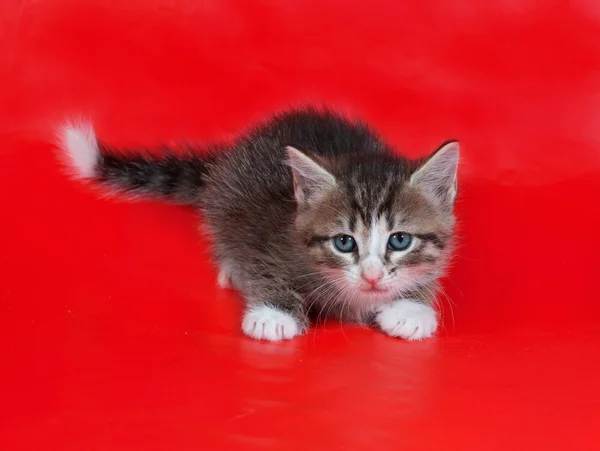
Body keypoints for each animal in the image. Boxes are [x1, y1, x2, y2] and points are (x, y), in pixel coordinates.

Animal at [57, 108, 460, 342]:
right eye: (344, 243)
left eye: (400, 240)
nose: (372, 276)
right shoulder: (264, 232)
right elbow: (261, 265)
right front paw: (274, 313)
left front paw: (411, 310)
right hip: (227, 196)